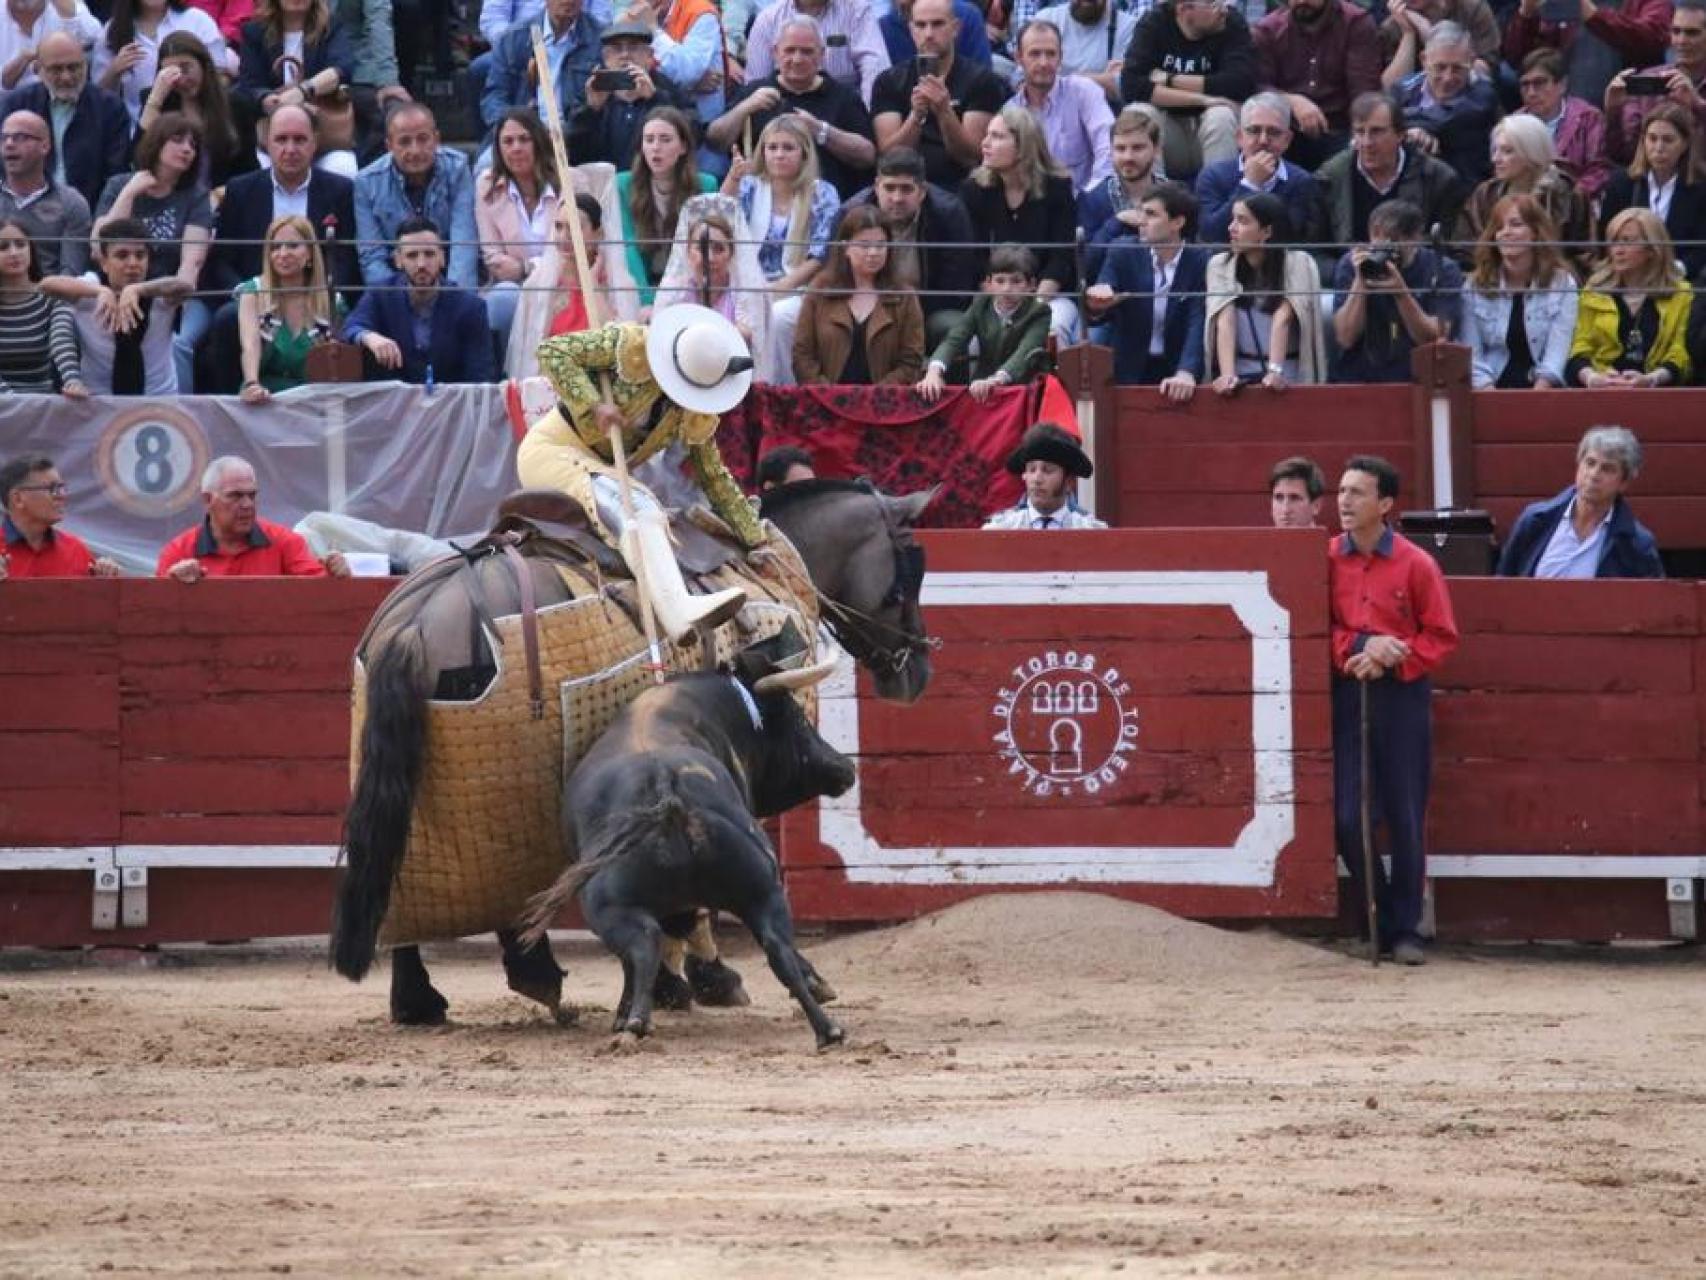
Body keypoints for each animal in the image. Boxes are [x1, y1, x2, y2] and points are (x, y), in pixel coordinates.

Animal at [518, 672, 853, 1051]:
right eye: (799, 719)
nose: (846, 766)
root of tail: (669, 793)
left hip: (608, 908)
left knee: (643, 947)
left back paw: (635, 1021)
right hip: (763, 892)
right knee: (777, 949)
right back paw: (828, 1029)